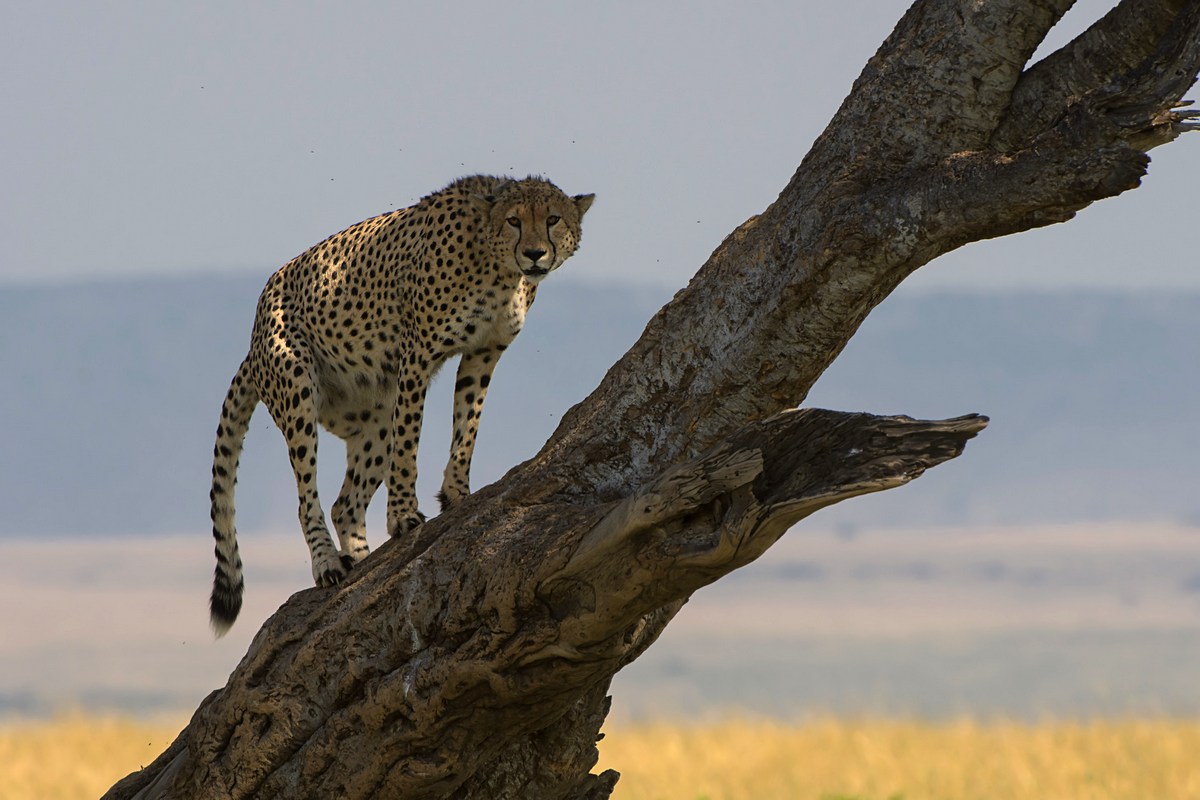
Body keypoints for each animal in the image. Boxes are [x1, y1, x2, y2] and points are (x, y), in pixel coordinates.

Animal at [208, 174, 594, 633]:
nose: (535, 254)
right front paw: (404, 517)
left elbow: (468, 425)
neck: (498, 266)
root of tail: (252, 341)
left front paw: (457, 494)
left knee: (345, 504)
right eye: (515, 221)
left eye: (553, 219)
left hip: (374, 423)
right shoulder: (417, 356)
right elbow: (410, 445)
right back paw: (328, 564)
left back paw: (361, 562)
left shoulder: (483, 353)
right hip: (298, 390)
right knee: (307, 498)